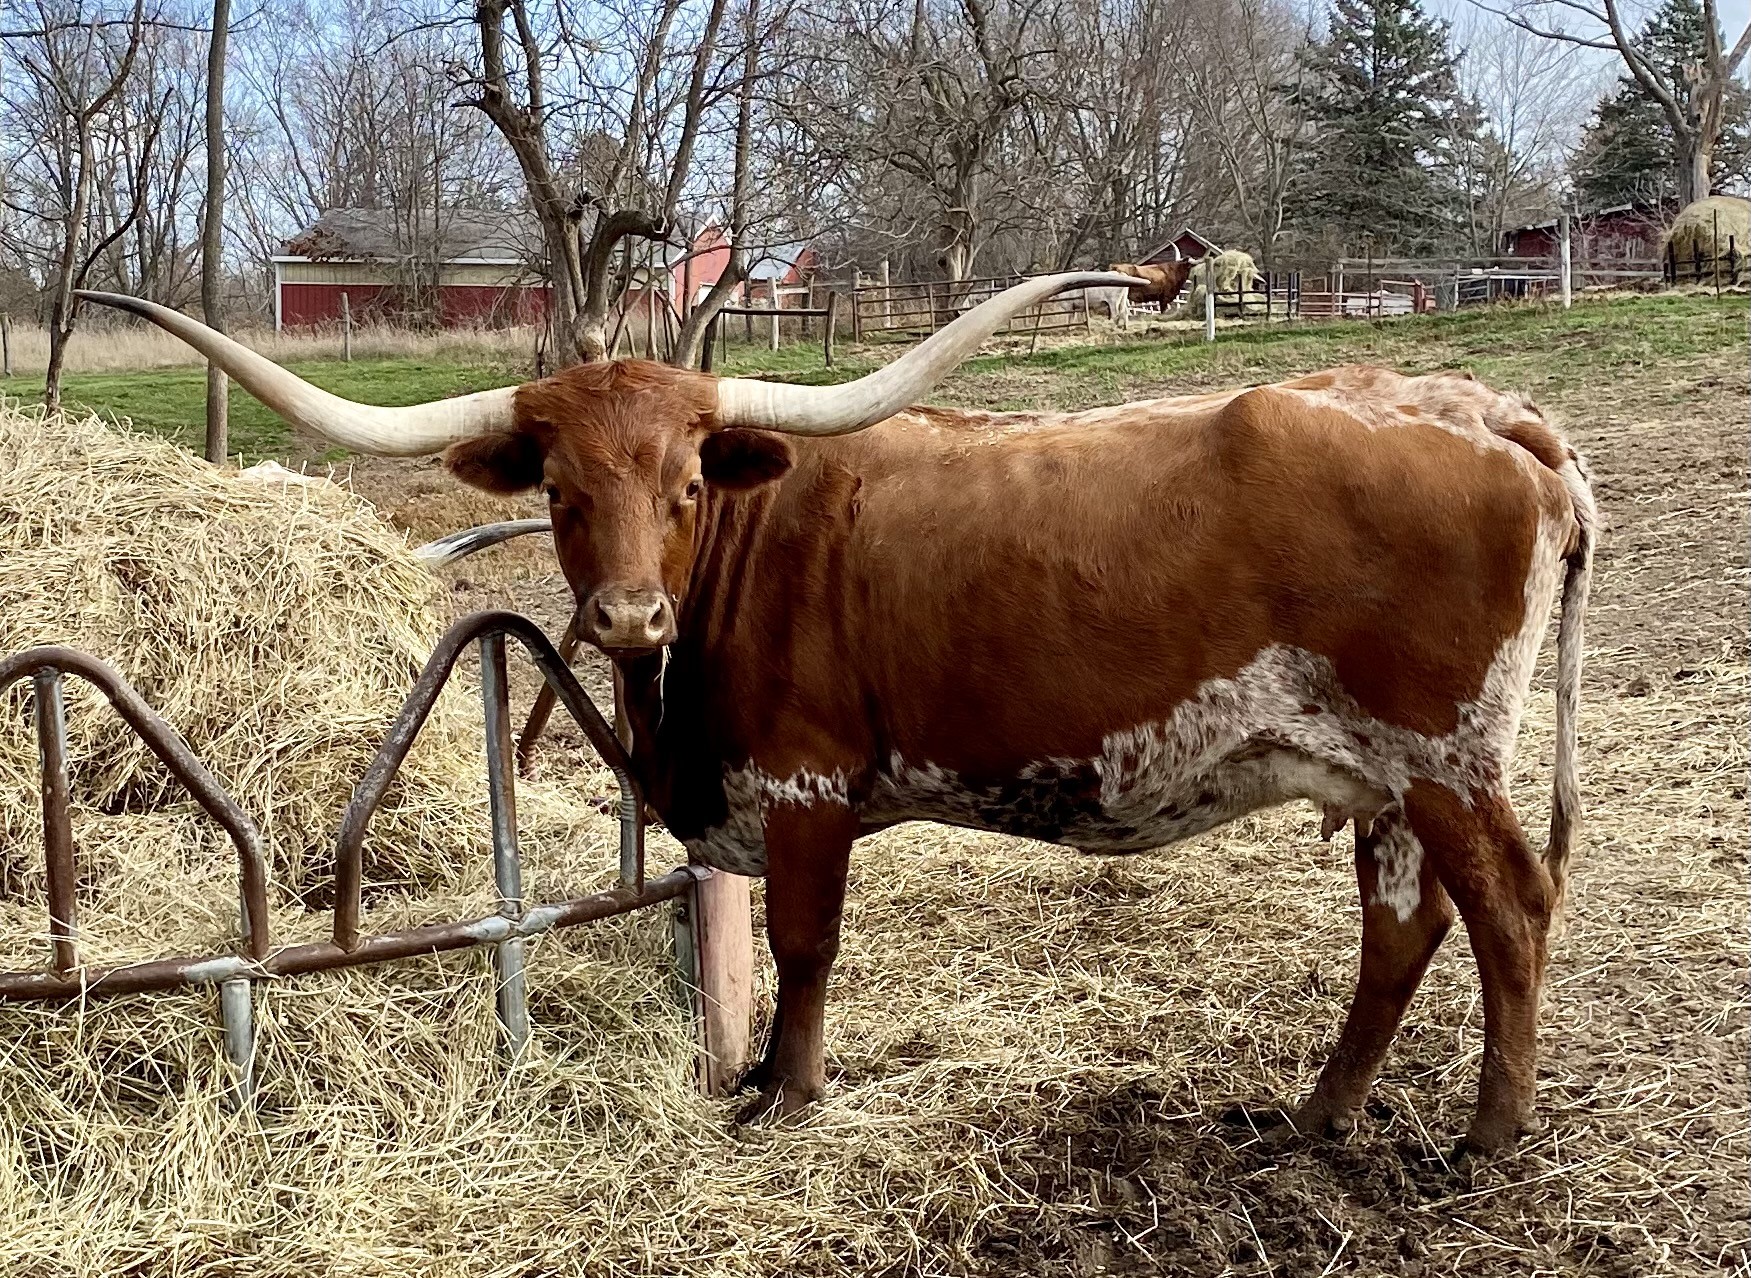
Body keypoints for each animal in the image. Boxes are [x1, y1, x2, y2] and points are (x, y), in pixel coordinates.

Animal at [77, 275, 1594, 1154]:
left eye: (688, 480)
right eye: (559, 490)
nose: (626, 619)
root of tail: (1485, 409)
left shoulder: (804, 787)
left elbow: (804, 947)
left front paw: (786, 1092)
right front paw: (762, 1077)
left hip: (1445, 757)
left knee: (1508, 909)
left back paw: (1492, 1132)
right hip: (1381, 777)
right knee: (1401, 928)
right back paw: (1318, 1116)